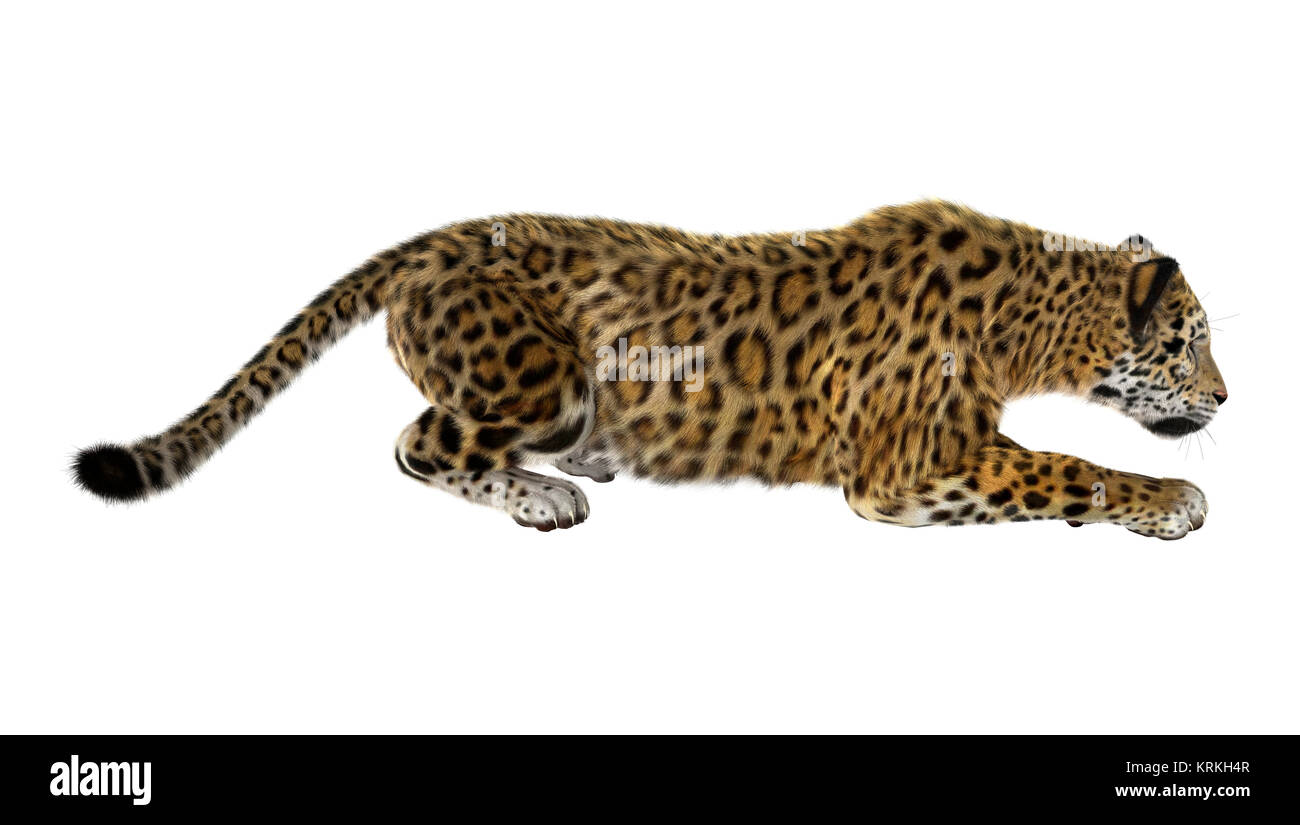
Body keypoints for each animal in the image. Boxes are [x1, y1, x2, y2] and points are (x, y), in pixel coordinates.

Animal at [73, 201, 1228, 539]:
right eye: (1190, 340)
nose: (1225, 397)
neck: (1035, 319)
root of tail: (447, 235)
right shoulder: (909, 465)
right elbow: (1065, 469)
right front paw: (1172, 498)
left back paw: (583, 464)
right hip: (539, 375)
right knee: (419, 442)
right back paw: (542, 496)